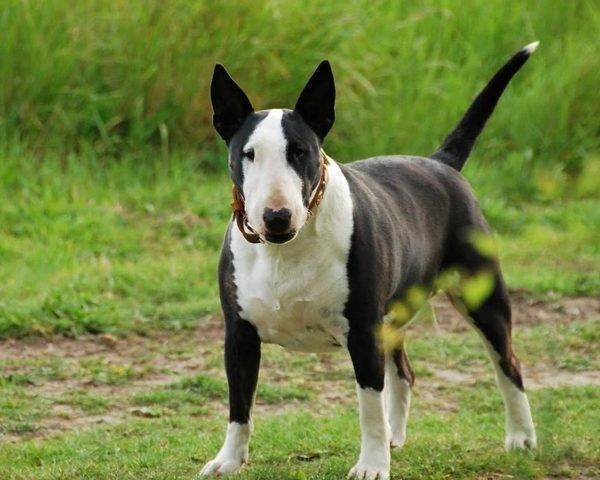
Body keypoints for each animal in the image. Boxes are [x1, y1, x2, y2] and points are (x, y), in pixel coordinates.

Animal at [202, 43, 540, 478]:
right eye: (248, 154)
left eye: (300, 152)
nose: (276, 217)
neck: (285, 250)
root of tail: (442, 163)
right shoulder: (239, 334)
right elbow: (239, 404)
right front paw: (227, 460)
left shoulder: (362, 332)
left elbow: (369, 407)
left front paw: (372, 465)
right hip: (393, 314)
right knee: (405, 372)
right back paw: (398, 436)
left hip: (481, 296)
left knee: (507, 363)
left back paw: (521, 437)